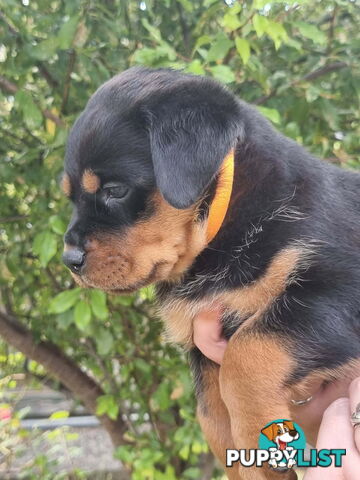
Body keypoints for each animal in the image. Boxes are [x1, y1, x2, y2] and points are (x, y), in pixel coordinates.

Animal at [62, 65, 360, 478]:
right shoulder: (203, 350)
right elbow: (213, 418)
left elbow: (247, 352)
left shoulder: (338, 289)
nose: (69, 259)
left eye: (115, 190)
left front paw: (258, 435)